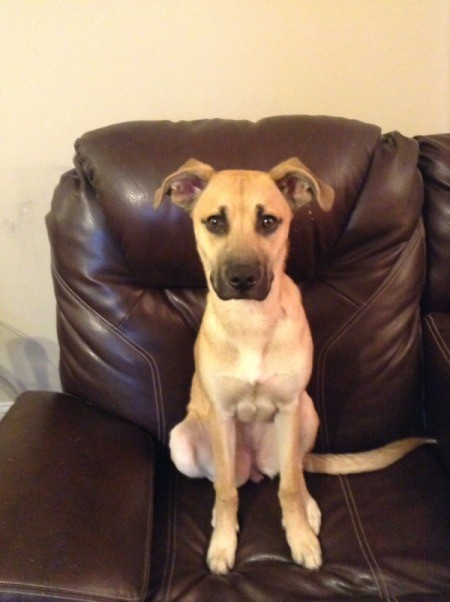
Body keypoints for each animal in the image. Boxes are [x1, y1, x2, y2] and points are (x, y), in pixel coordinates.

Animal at [155, 158, 432, 572]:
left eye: (269, 221)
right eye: (215, 222)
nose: (242, 278)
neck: (251, 321)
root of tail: (254, 467)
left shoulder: (288, 408)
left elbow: (286, 487)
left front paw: (300, 536)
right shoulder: (221, 415)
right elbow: (226, 492)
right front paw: (223, 543)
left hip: (306, 413)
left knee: (296, 469)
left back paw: (309, 508)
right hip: (183, 442)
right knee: (223, 481)